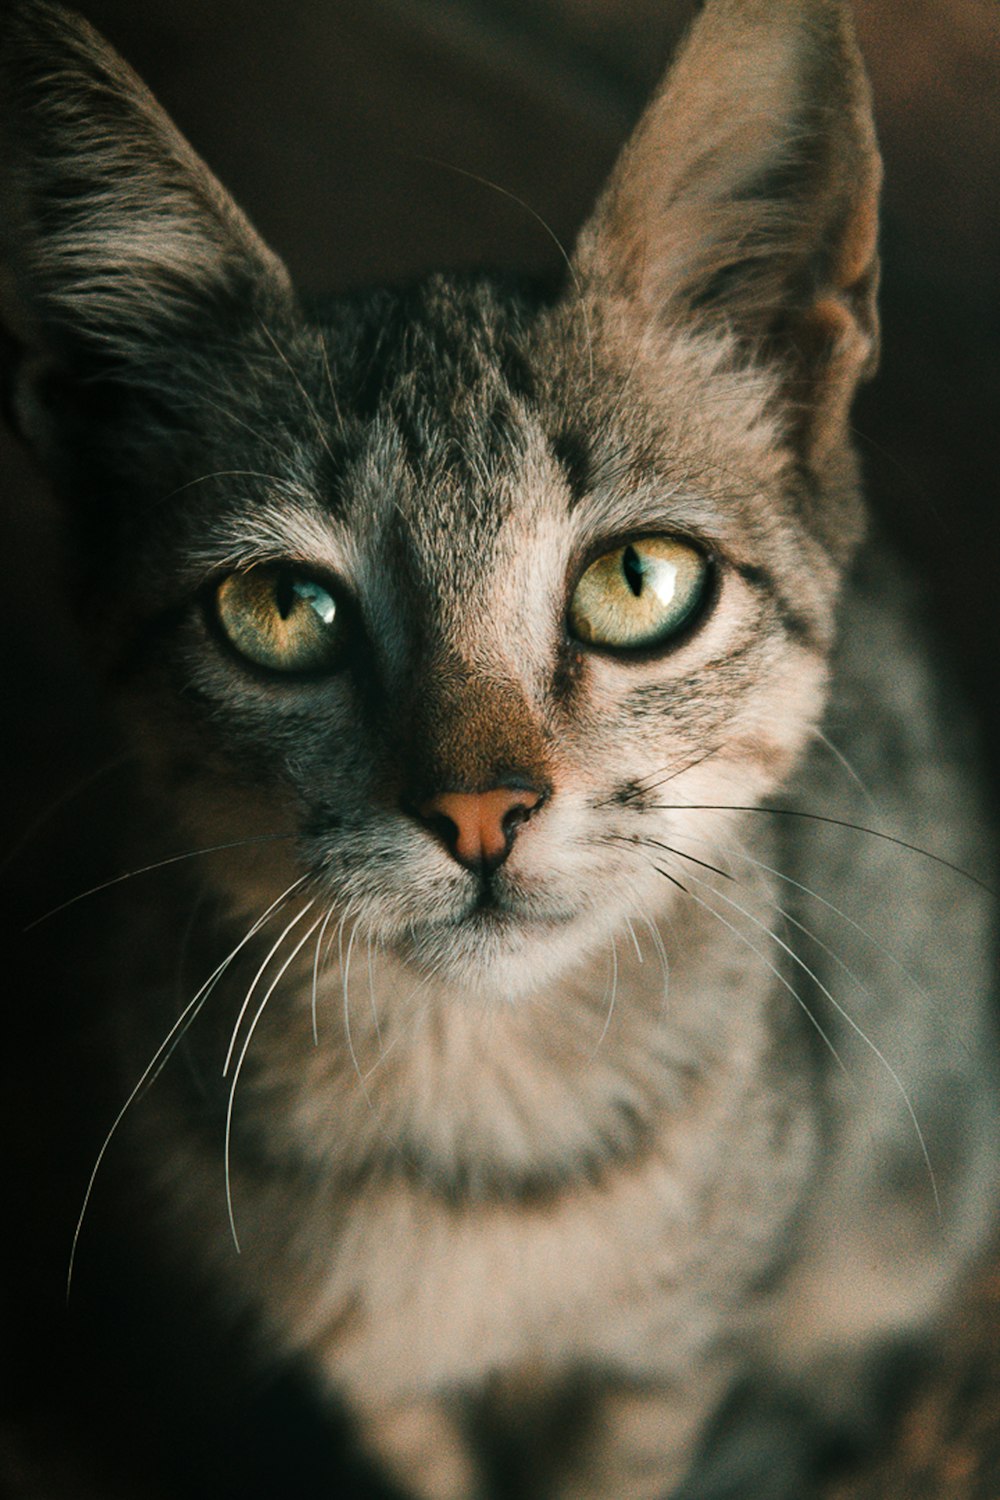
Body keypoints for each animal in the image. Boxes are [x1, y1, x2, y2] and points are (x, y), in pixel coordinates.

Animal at [1, 0, 1000, 1494]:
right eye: (282, 610)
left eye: (638, 582)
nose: (480, 812)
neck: (476, 1126)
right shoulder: (370, 1378)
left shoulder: (666, 1363)